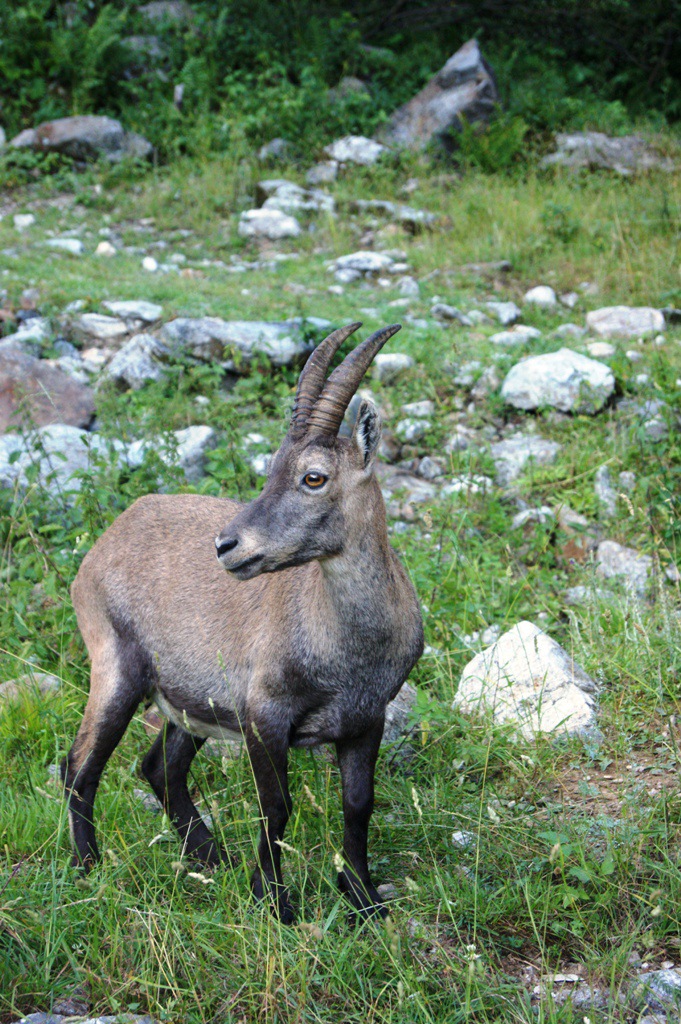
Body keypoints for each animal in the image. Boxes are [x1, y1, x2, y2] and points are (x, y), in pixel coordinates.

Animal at [63, 321, 424, 922]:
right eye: (271, 468)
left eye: (313, 477)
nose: (227, 545)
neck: (346, 645)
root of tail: (109, 536)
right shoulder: (264, 714)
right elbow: (276, 806)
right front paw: (274, 903)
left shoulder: (366, 718)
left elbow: (358, 804)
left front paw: (363, 900)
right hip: (116, 668)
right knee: (80, 766)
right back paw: (90, 868)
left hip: (193, 702)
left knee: (160, 768)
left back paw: (212, 858)